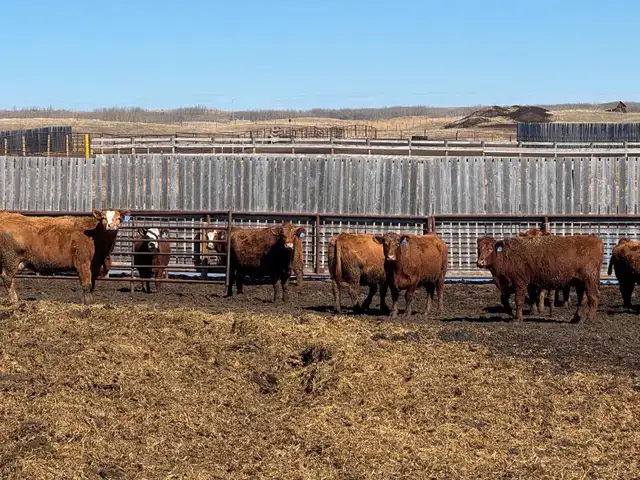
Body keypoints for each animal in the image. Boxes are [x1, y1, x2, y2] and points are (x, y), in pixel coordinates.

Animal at [0, 209, 130, 314]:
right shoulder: (82, 263)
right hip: (10, 260)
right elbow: (86, 285)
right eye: (103, 218)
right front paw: (86, 304)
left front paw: (91, 302)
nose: (111, 225)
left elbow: (92, 285)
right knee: (7, 278)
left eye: (119, 218)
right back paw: (14, 300)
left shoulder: (93, 267)